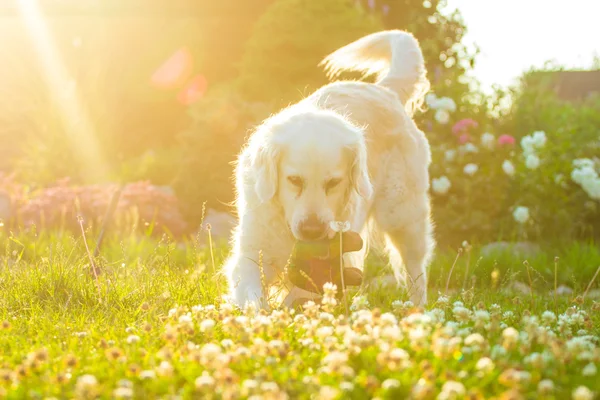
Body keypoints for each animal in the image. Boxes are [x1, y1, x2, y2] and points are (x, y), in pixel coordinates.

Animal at [223, 29, 434, 308]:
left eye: (333, 183)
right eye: (294, 180)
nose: (312, 231)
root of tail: (384, 90)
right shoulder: (253, 252)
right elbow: (253, 298)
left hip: (402, 216)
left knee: (416, 272)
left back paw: (419, 310)